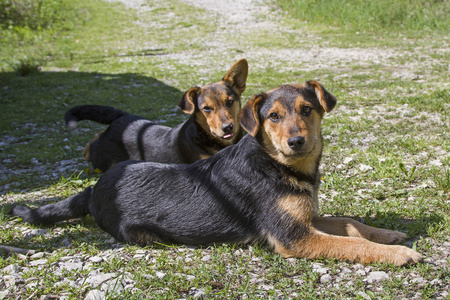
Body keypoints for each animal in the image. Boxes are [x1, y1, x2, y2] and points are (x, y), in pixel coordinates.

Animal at [10, 80, 422, 264]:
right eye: (273, 117)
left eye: (307, 110)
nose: (296, 142)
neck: (277, 164)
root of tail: (96, 187)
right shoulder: (292, 237)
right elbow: (351, 243)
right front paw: (399, 253)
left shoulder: (306, 218)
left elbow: (350, 222)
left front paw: (387, 234)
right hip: (142, 234)